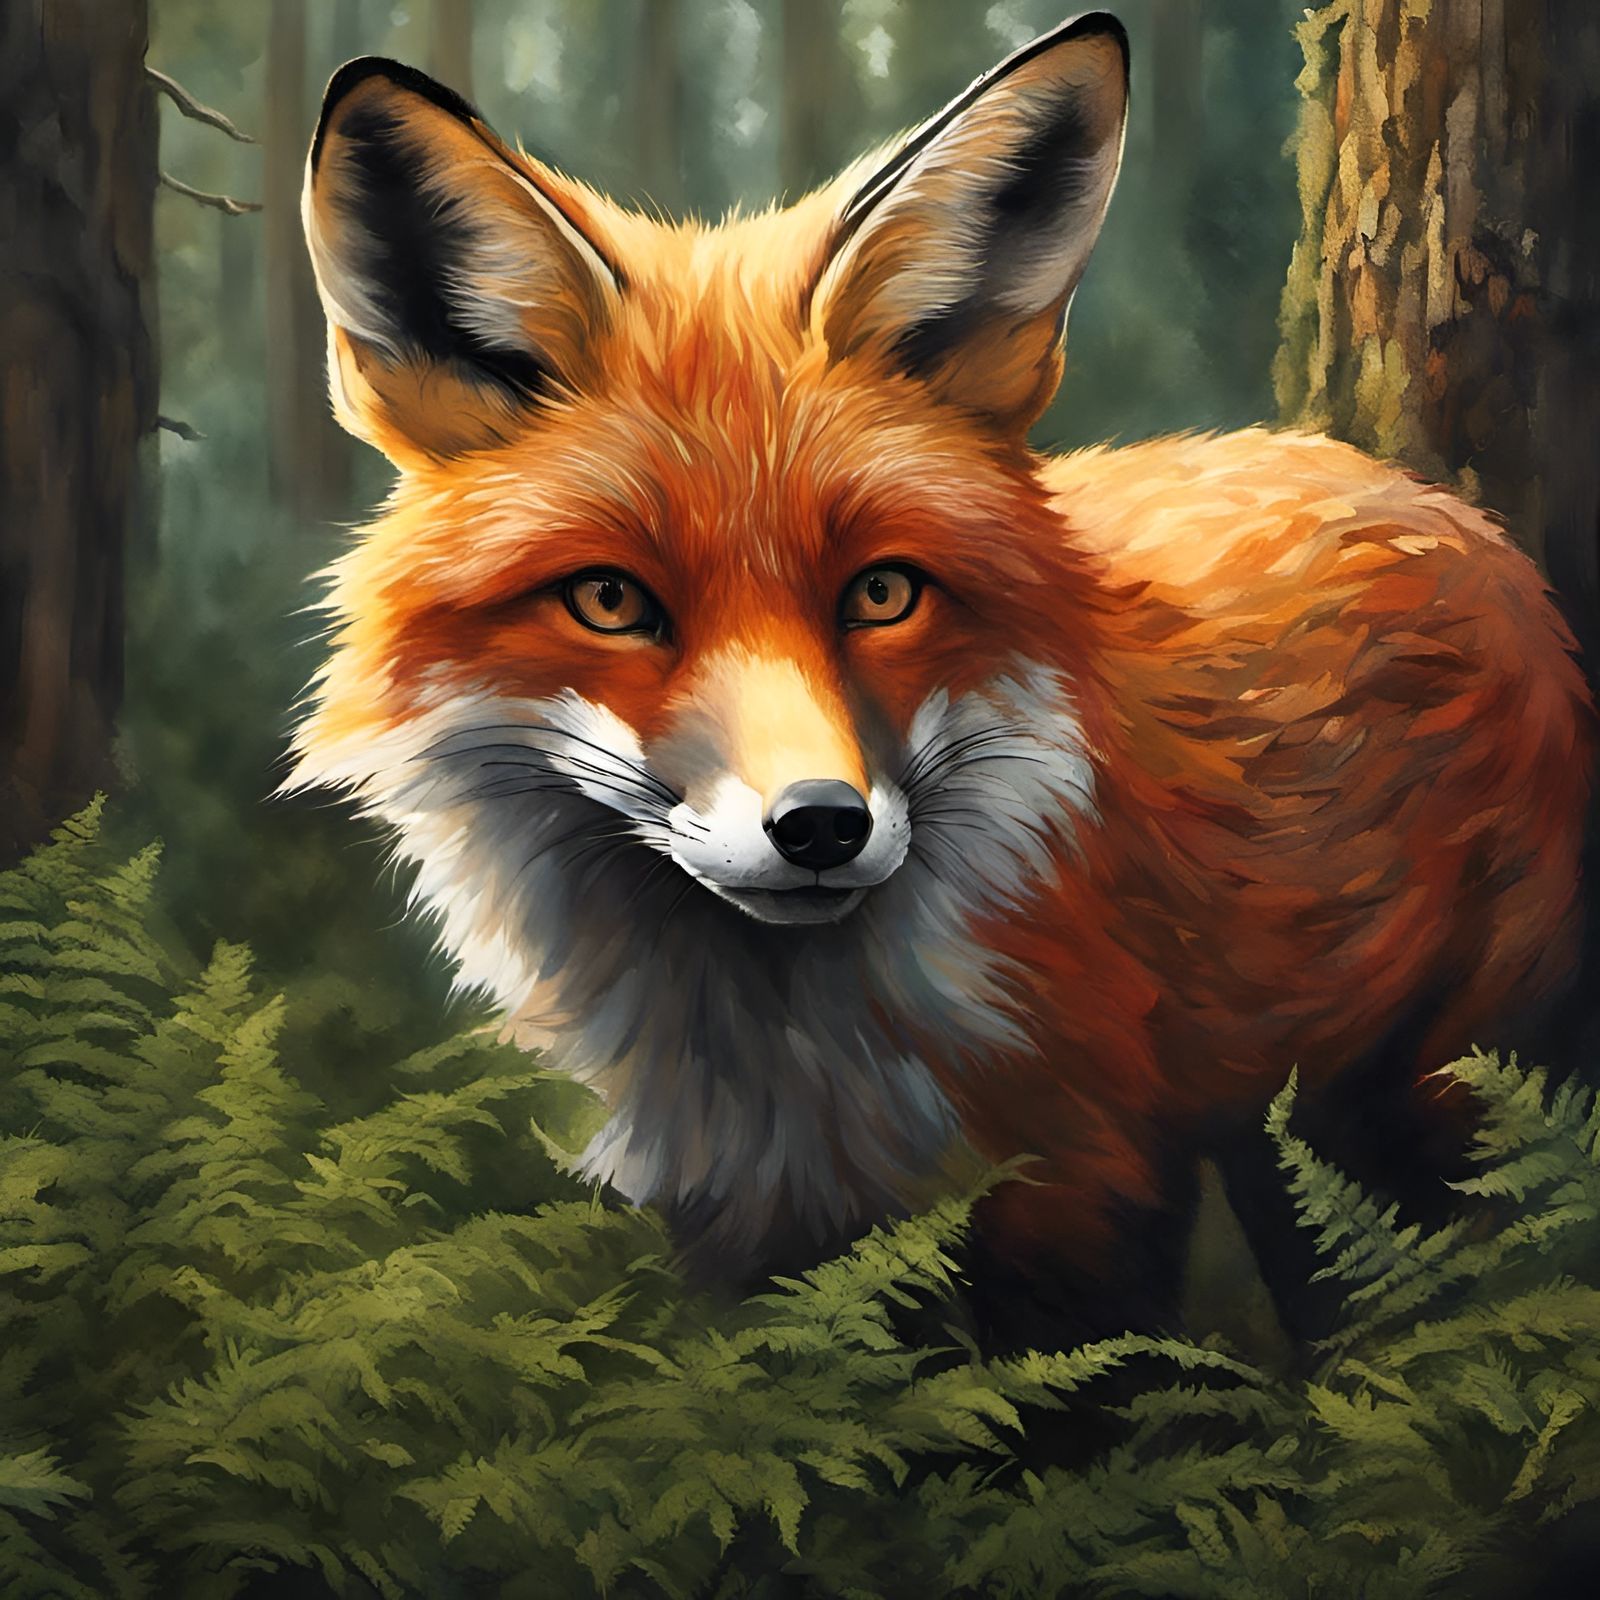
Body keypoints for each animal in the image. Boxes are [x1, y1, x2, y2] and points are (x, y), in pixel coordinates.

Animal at [290, 14, 1592, 1330]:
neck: (785, 1059)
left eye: (881, 592)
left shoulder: (1082, 1190)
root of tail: (1449, 512)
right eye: (611, 601)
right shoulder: (750, 1238)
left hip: (1409, 1108)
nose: (820, 825)